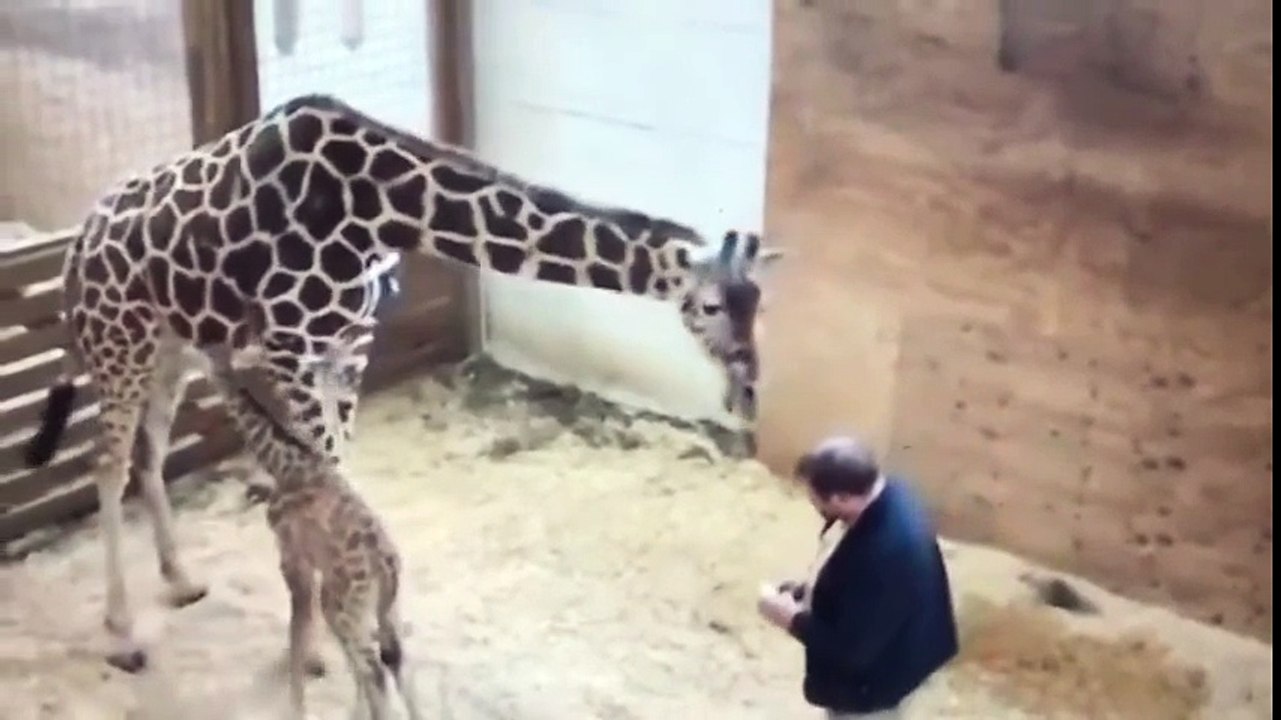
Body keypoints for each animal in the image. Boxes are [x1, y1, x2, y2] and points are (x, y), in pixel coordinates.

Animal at [21, 93, 784, 672]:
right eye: (709, 307)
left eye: (758, 305)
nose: (748, 396)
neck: (378, 204)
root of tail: (76, 245)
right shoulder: (288, 346)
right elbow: (322, 476)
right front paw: (320, 645)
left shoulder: (349, 345)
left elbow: (345, 474)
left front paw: (364, 628)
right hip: (118, 344)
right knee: (106, 463)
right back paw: (122, 630)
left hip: (170, 351)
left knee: (148, 454)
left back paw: (179, 579)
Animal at [205, 332, 421, 720]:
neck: (284, 462)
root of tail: (386, 565)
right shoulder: (317, 573)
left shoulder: (293, 560)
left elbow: (298, 634)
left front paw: (297, 709)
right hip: (381, 606)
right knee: (396, 662)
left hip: (346, 606)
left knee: (376, 669)